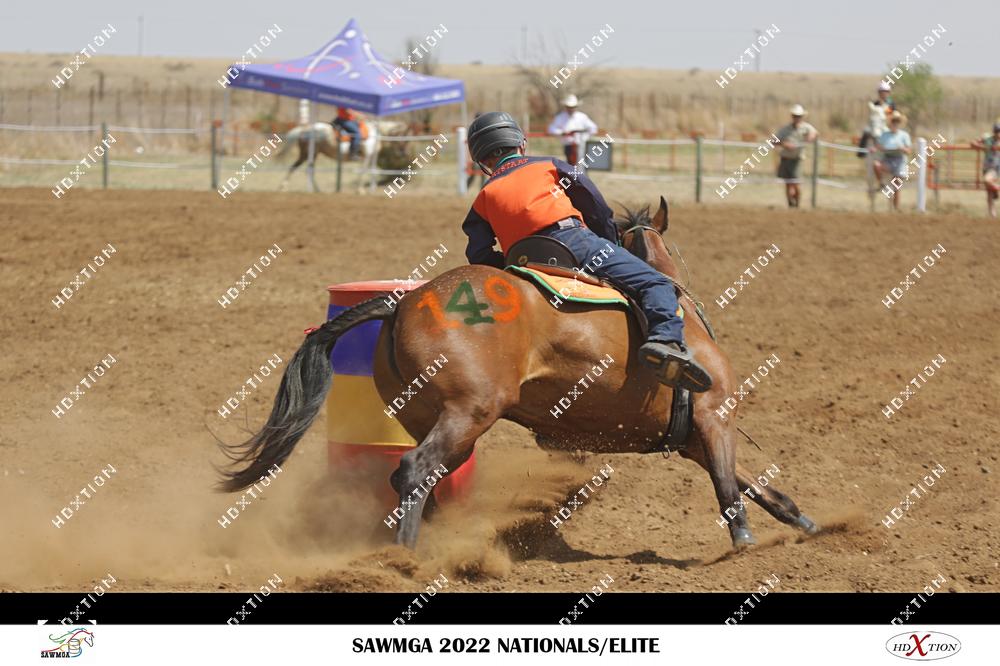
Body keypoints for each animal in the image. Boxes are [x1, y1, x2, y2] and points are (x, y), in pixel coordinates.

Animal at [218, 196, 819, 553]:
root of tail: (404, 301)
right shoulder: (715, 415)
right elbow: (729, 486)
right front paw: (743, 542)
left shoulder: (693, 435)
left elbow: (756, 484)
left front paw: (806, 524)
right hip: (470, 410)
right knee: (415, 470)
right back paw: (406, 558)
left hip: (431, 416)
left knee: (418, 476)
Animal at [277, 120, 406, 191]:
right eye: (400, 136)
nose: (403, 153)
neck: (373, 134)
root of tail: (304, 129)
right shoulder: (366, 157)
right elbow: (363, 172)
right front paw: (360, 190)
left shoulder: (370, 158)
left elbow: (372, 172)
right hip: (307, 154)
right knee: (295, 167)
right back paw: (283, 187)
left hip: (312, 155)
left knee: (308, 170)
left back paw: (317, 190)